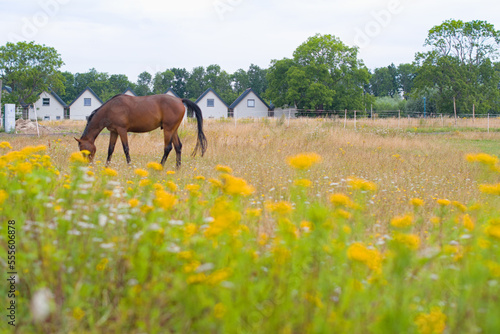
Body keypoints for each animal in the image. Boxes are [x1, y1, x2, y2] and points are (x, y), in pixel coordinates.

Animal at [74, 93, 207, 167]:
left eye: (83, 150)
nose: (87, 164)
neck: (111, 108)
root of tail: (180, 100)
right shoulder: (114, 131)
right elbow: (110, 150)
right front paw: (107, 167)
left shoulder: (122, 130)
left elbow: (126, 149)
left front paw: (129, 166)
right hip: (173, 130)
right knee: (178, 146)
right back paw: (177, 168)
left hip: (168, 129)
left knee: (168, 148)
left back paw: (160, 166)